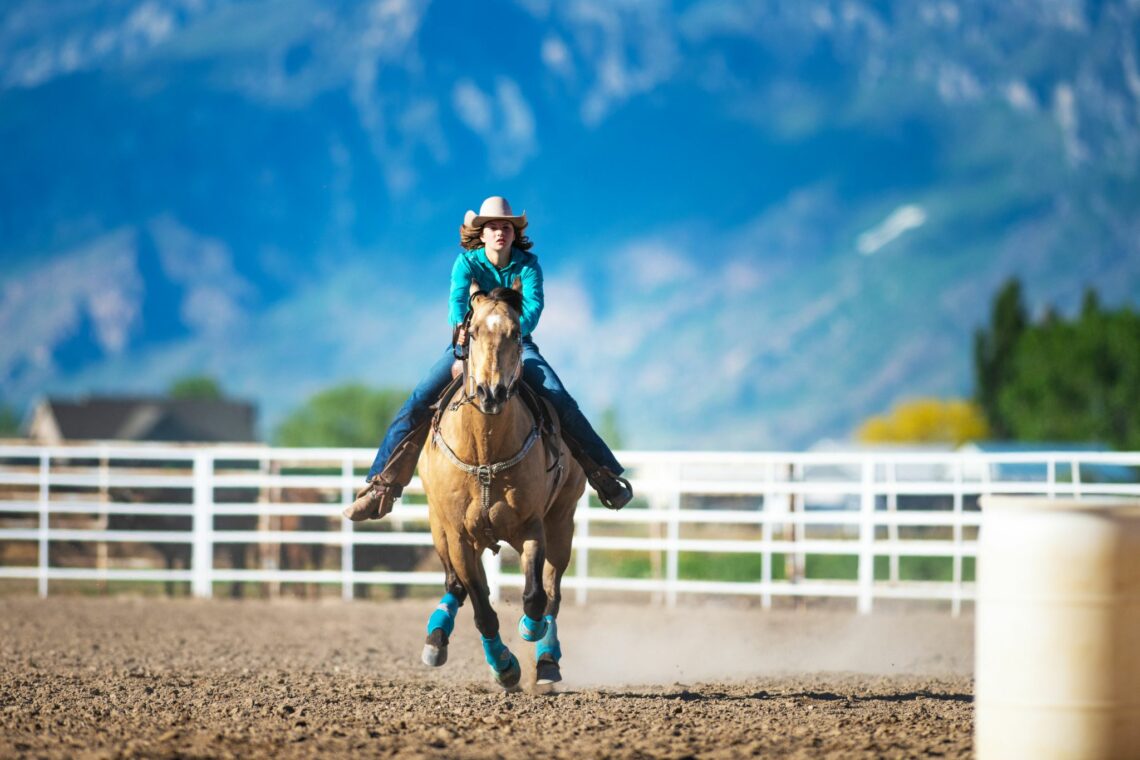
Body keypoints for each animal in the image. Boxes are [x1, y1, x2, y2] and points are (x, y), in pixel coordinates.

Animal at [416, 282, 586, 690]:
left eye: (516, 334)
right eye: (473, 331)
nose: (490, 393)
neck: (485, 454)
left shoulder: (532, 527)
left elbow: (535, 596)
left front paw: (529, 630)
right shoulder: (459, 538)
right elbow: (481, 607)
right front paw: (505, 666)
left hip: (563, 523)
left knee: (553, 593)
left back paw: (547, 661)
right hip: (438, 526)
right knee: (454, 586)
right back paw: (436, 639)